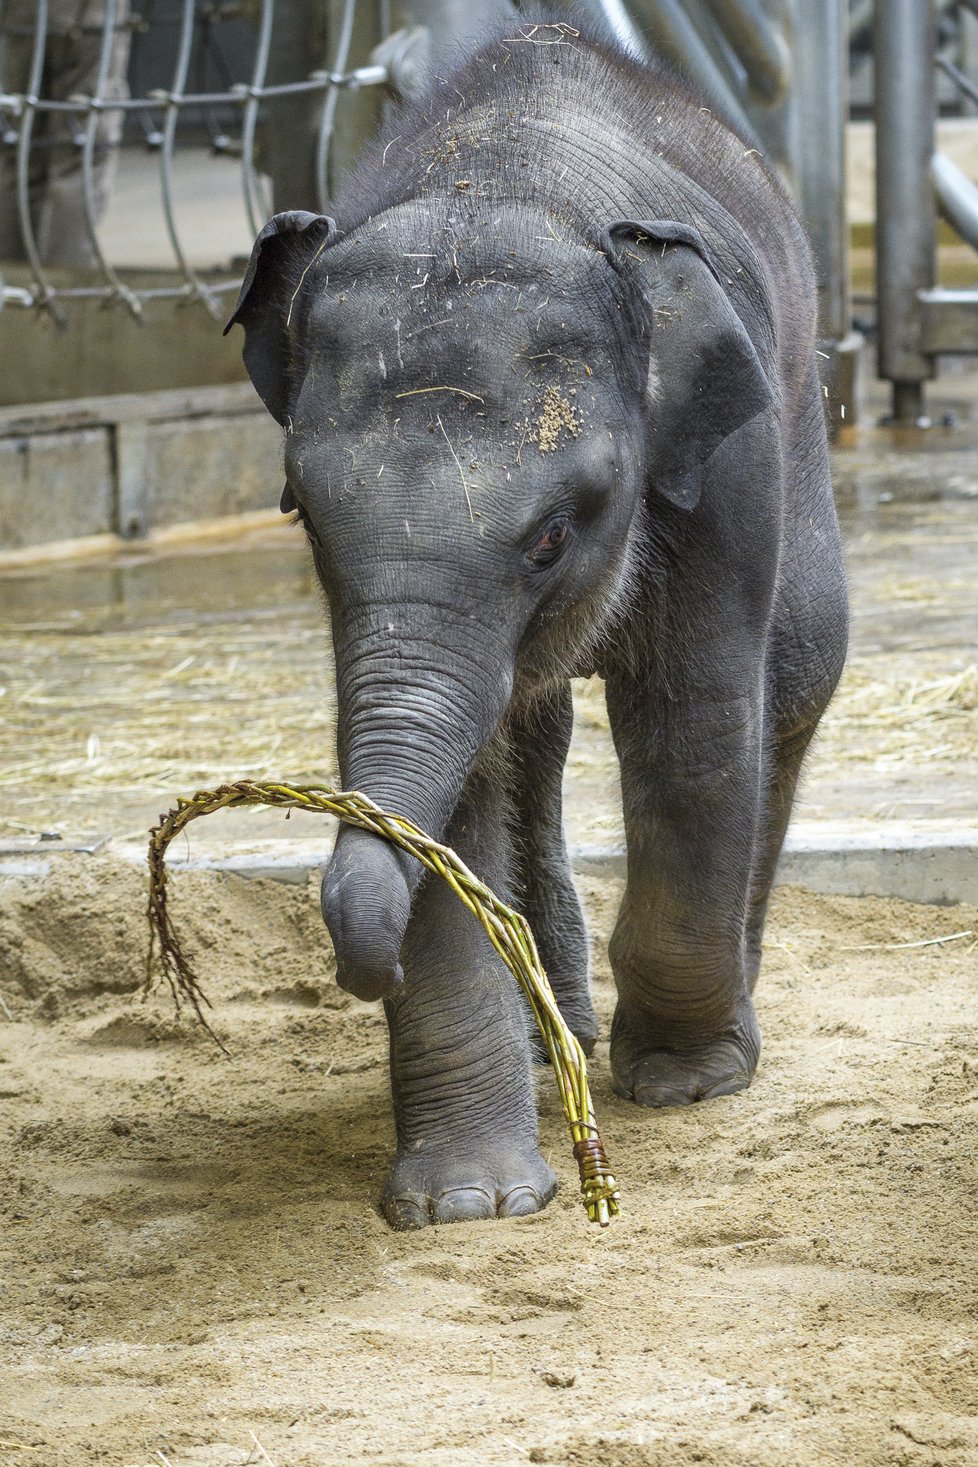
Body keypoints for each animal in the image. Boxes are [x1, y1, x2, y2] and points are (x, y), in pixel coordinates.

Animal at [230, 17, 850, 1226]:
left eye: (554, 536)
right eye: (305, 518)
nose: (364, 968)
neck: (502, 183)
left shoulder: (726, 470)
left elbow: (694, 726)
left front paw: (683, 1084)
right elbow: (457, 788)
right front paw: (467, 1205)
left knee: (794, 676)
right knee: (538, 731)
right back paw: (548, 1034)